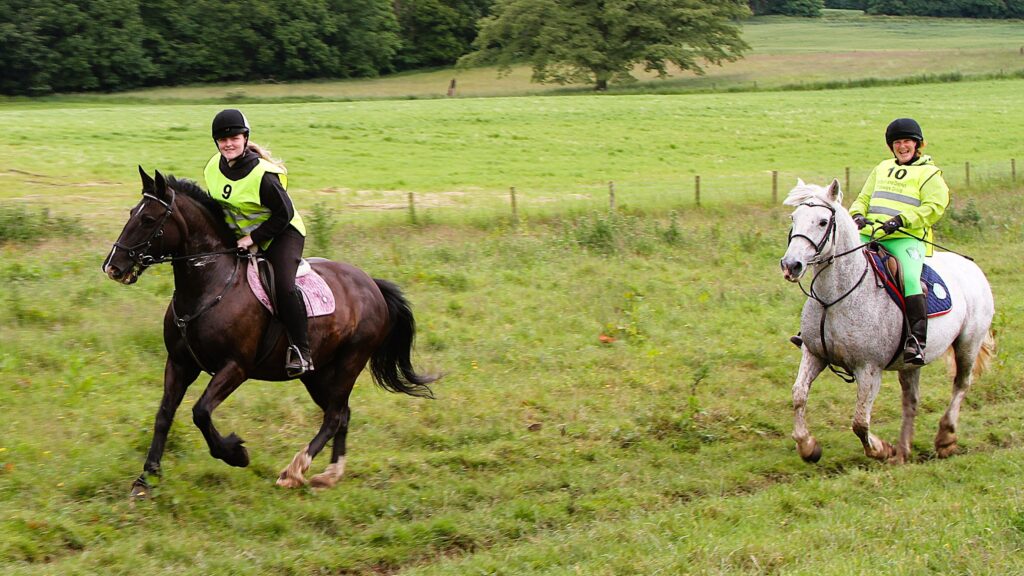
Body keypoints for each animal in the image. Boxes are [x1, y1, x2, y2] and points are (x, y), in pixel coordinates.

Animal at [102, 166, 436, 494]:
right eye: (131, 212)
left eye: (148, 220)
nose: (112, 267)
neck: (209, 285)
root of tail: (372, 284)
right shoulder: (180, 363)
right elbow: (164, 415)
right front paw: (146, 478)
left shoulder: (235, 367)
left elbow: (201, 412)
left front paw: (235, 453)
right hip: (317, 372)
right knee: (342, 413)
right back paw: (330, 474)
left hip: (349, 362)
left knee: (334, 415)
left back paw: (295, 469)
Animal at [782, 177, 991, 459]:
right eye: (794, 218)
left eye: (823, 222)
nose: (790, 265)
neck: (834, 299)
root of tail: (972, 267)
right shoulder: (814, 354)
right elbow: (799, 395)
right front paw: (808, 446)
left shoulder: (869, 369)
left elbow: (860, 421)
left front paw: (881, 449)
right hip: (911, 363)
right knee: (911, 401)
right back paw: (903, 451)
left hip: (968, 344)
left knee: (961, 384)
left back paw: (945, 438)